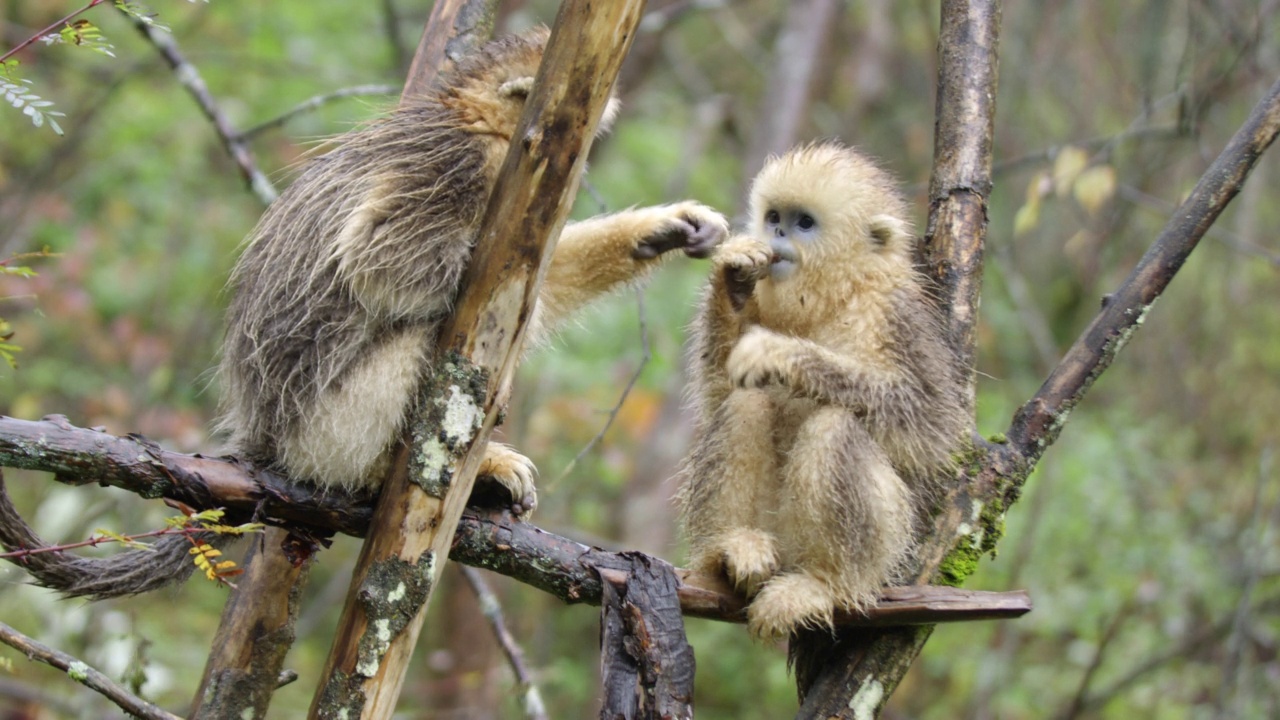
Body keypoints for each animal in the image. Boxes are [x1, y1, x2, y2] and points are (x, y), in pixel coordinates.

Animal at [680, 142, 962, 635]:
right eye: (774, 217)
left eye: (804, 223)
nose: (776, 234)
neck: (834, 299)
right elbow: (718, 395)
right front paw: (734, 278)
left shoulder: (900, 317)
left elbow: (932, 427)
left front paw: (782, 355)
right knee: (746, 403)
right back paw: (732, 550)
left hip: (880, 547)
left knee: (836, 426)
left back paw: (824, 585)